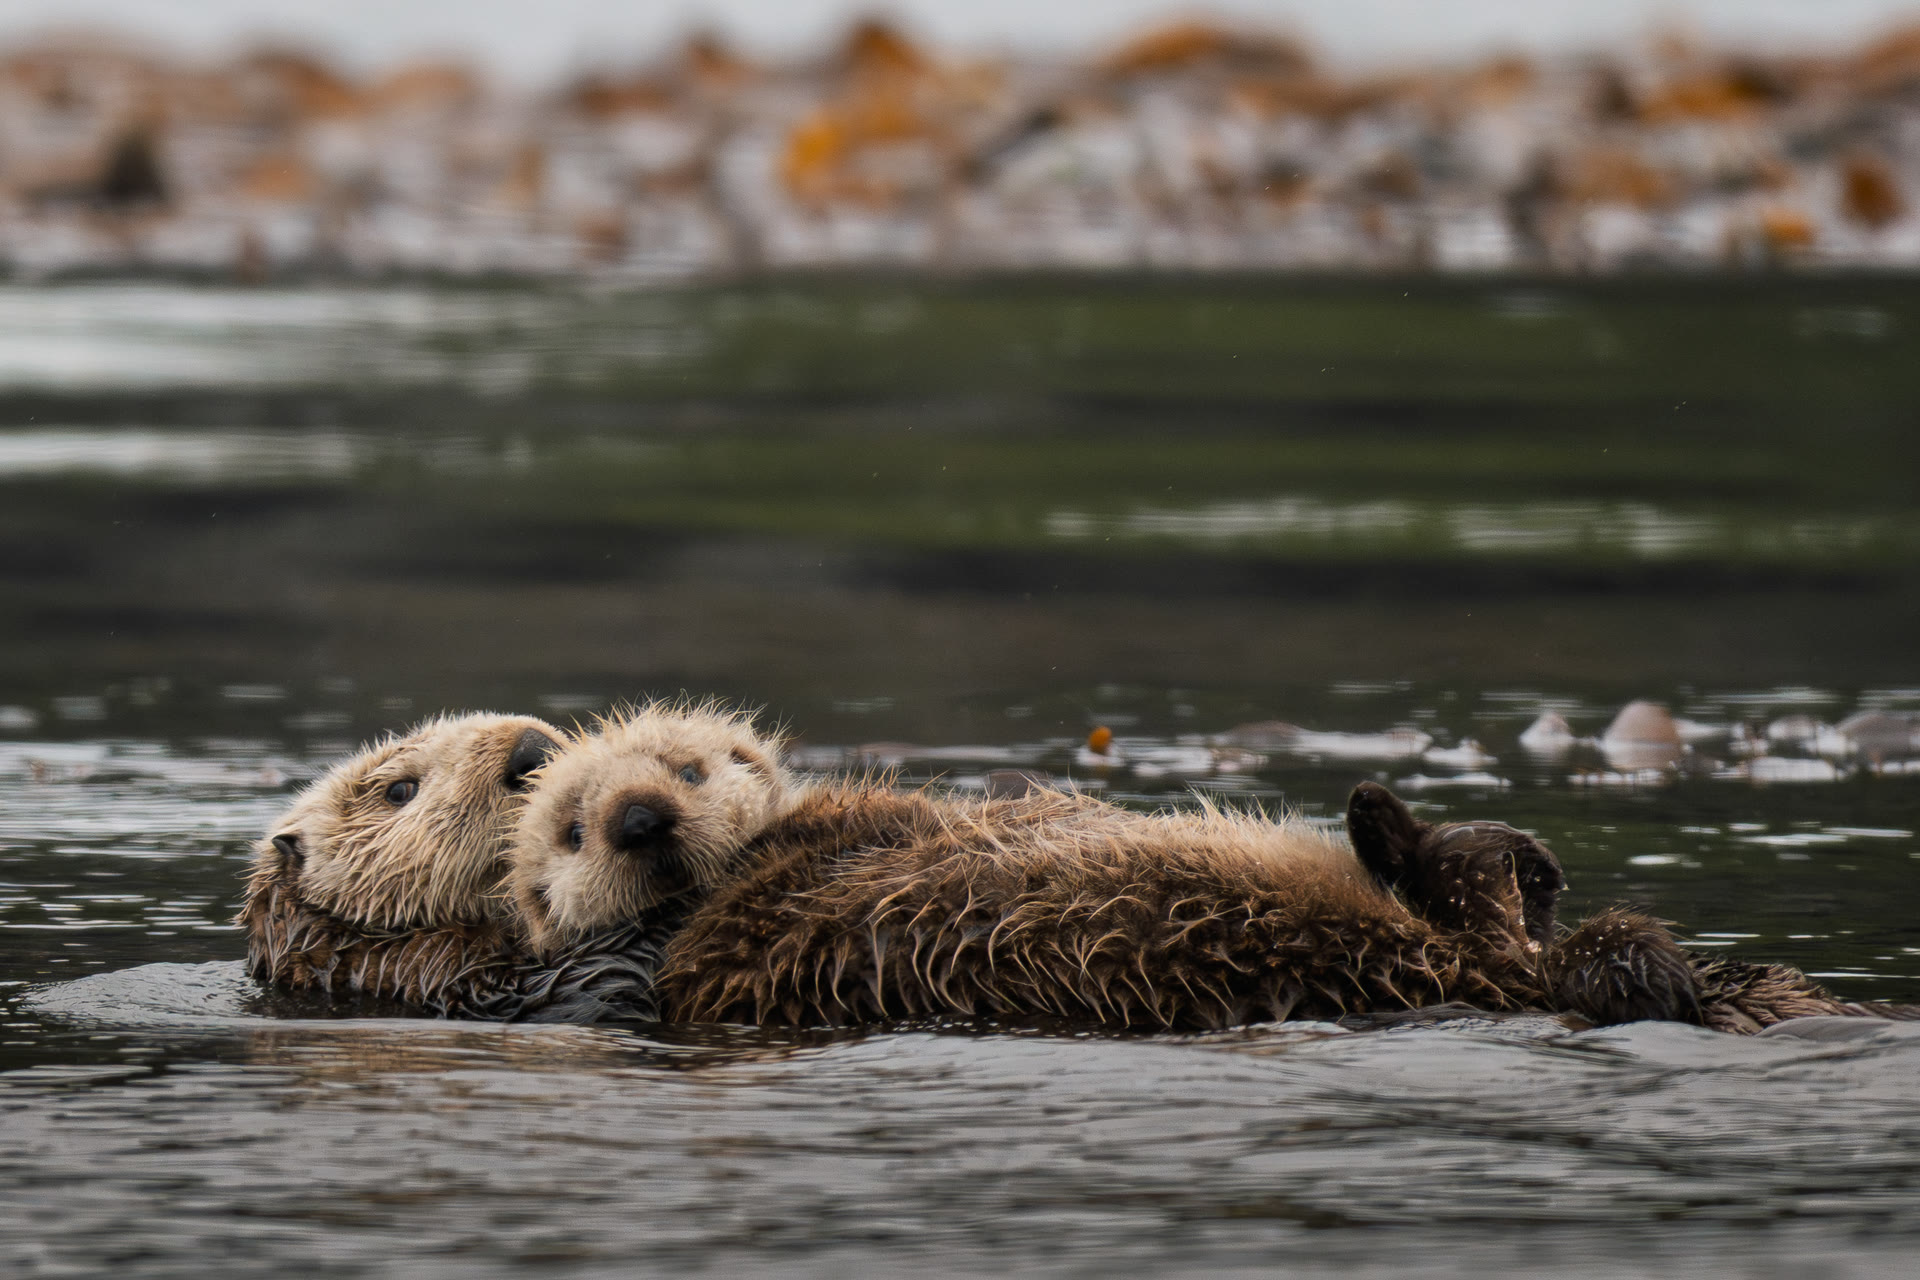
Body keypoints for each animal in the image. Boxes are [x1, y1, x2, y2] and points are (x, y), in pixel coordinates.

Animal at [507, 702, 1765, 1030]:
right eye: (570, 825)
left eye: (686, 763)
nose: (640, 818)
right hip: (1441, 939)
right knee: (1493, 895)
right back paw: (1393, 821)